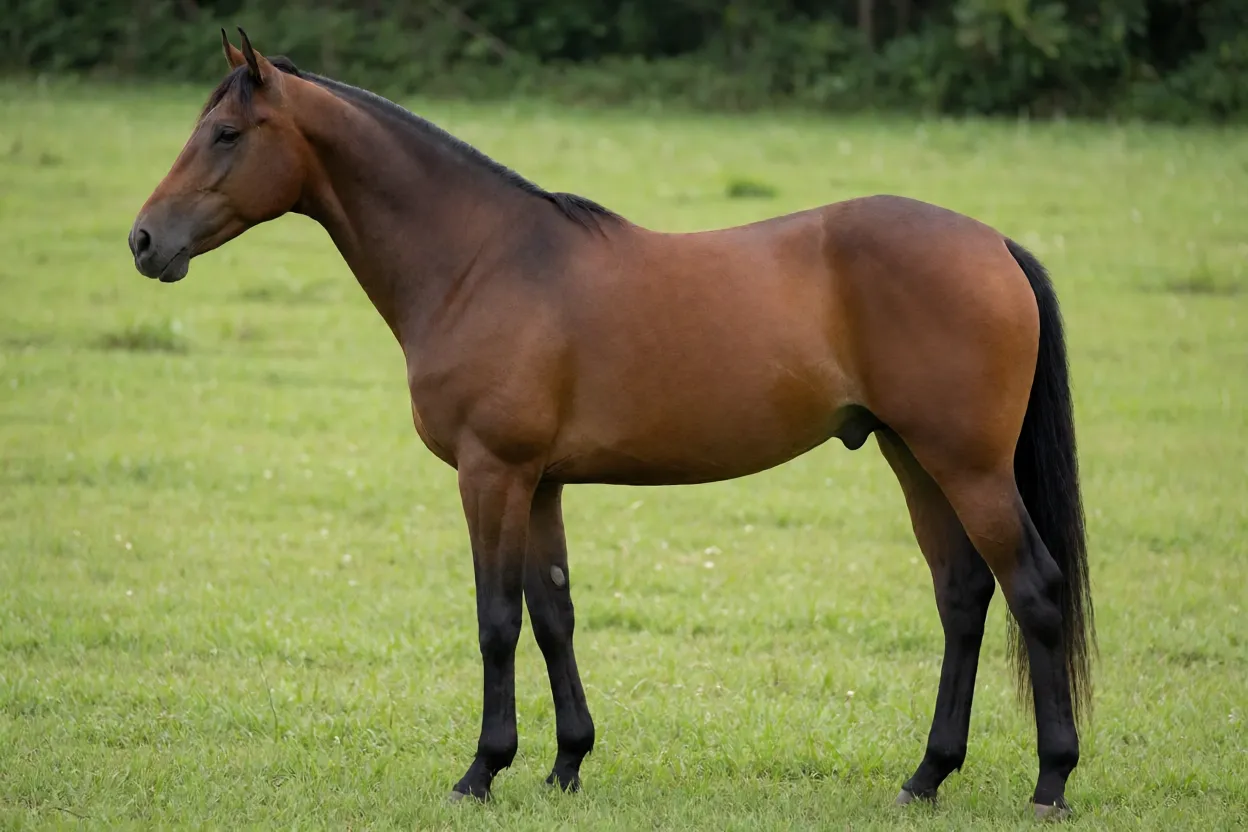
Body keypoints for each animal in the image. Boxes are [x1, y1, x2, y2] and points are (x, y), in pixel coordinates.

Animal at [129, 29, 1095, 818]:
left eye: (225, 134)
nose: (142, 242)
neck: (482, 261)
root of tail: (994, 244)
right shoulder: (541, 481)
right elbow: (553, 612)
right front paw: (566, 765)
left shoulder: (492, 473)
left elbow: (496, 618)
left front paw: (481, 771)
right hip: (913, 458)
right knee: (963, 596)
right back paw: (926, 777)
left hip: (967, 466)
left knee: (1033, 590)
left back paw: (1051, 781)